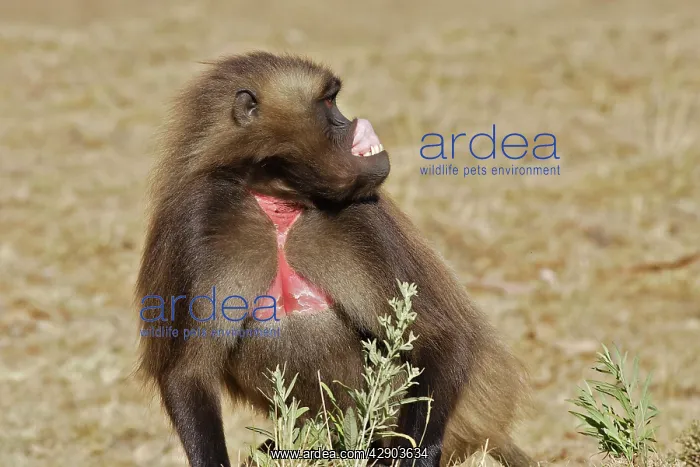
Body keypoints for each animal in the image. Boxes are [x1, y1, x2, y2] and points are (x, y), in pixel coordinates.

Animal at [136, 51, 533, 467]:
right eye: (329, 103)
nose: (353, 121)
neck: (279, 202)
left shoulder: (363, 218)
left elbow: (440, 336)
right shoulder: (197, 221)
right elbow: (188, 374)